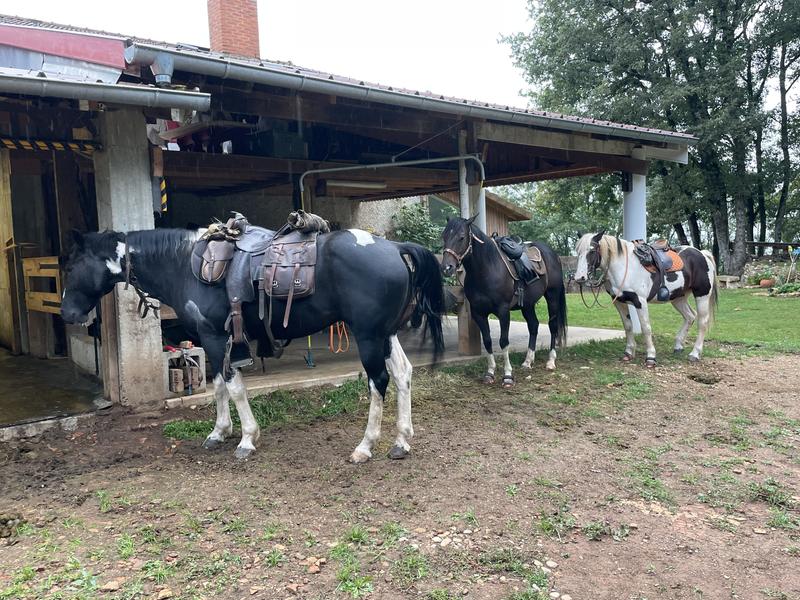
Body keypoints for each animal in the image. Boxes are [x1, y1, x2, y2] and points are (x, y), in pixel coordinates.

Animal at [60, 227, 445, 461]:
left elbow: (234, 387)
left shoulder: (216, 336)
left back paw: (365, 447)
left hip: (368, 335)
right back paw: (401, 440)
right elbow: (218, 385)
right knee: (403, 374)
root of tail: (396, 247)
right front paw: (219, 432)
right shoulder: (211, 339)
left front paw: (246, 438)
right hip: (386, 333)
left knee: (378, 382)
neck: (186, 263)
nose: (66, 313)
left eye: (72, 266)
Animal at [440, 216, 568, 388]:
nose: (446, 268)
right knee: (533, 326)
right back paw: (528, 361)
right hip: (527, 305)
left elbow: (503, 341)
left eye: (461, 237)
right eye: (444, 236)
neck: (487, 269)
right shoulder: (478, 313)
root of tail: (552, 254)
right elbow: (487, 341)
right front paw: (490, 373)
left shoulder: (503, 311)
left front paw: (508, 375)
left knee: (553, 326)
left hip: (552, 296)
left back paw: (550, 361)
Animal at [573, 231, 718, 366]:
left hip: (702, 295)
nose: (580, 278)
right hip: (678, 298)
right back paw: (678, 346)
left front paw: (651, 357)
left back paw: (695, 354)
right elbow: (628, 326)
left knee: (702, 322)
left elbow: (645, 328)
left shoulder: (640, 301)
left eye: (592, 250)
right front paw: (629, 352)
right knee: (690, 316)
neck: (624, 267)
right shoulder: (619, 302)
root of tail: (703, 254)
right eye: (578, 251)